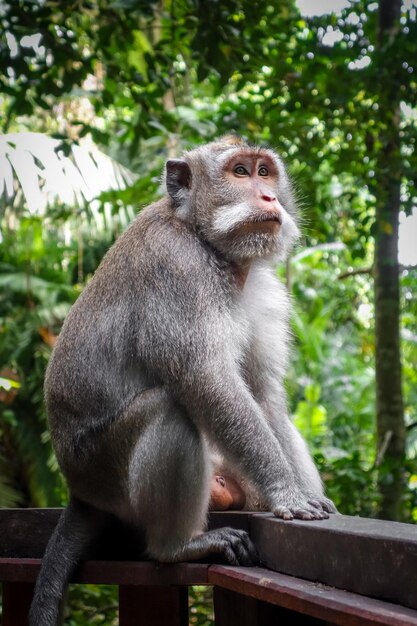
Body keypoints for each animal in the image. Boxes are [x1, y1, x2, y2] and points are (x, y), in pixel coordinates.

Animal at [28, 136, 334, 624]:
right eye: (240, 172)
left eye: (265, 172)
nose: (269, 198)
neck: (205, 241)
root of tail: (79, 491)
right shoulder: (176, 268)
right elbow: (207, 382)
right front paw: (287, 493)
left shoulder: (263, 292)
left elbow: (264, 397)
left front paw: (295, 492)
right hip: (105, 473)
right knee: (168, 409)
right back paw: (176, 547)